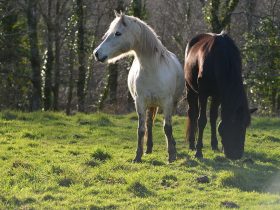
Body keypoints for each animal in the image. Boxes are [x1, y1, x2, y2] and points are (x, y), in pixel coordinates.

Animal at [94, 11, 186, 162]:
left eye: (118, 33)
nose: (97, 53)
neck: (152, 70)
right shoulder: (140, 102)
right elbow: (141, 129)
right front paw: (138, 156)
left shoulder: (167, 102)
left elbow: (167, 128)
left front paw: (172, 155)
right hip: (151, 104)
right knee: (149, 124)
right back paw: (148, 149)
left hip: (169, 103)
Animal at [184, 31, 256, 159]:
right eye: (238, 127)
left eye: (245, 128)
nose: (236, 155)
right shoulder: (203, 94)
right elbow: (201, 120)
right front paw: (198, 151)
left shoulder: (218, 95)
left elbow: (213, 118)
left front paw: (215, 146)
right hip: (190, 89)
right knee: (192, 114)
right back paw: (192, 145)